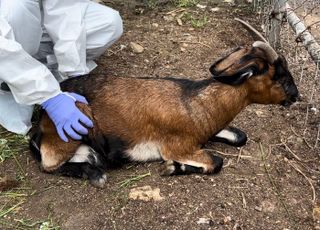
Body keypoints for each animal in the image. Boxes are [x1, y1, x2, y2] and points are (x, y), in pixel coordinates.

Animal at [28, 20, 298, 188]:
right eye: (280, 76)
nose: (296, 96)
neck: (197, 104)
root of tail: (39, 119)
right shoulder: (178, 146)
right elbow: (216, 162)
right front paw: (172, 168)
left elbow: (240, 136)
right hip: (73, 123)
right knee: (49, 164)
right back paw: (96, 173)